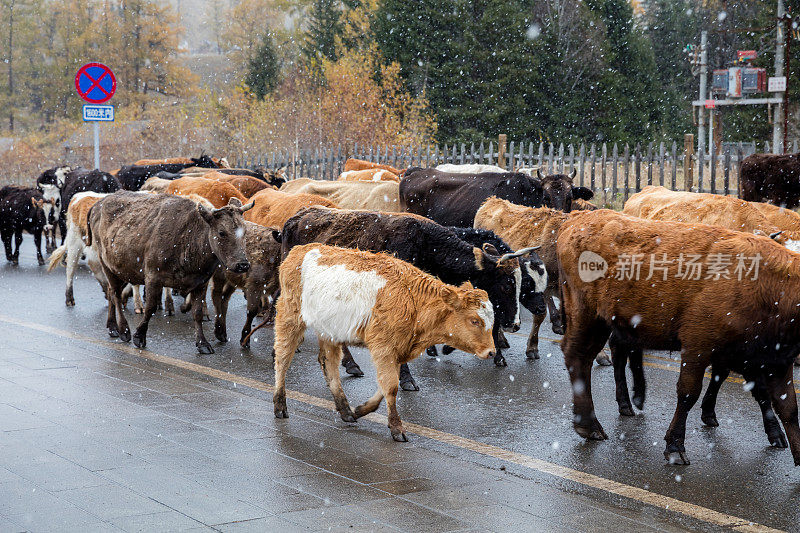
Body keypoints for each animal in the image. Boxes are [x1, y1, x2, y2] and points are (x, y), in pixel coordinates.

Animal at [87, 191, 252, 354]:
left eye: (244, 231)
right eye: (222, 232)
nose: (243, 265)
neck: (188, 238)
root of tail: (99, 203)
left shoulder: (201, 282)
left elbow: (198, 313)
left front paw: (203, 343)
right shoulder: (153, 277)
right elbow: (150, 308)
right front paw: (139, 336)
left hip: (121, 270)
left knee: (110, 292)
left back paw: (112, 327)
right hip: (106, 264)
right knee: (115, 294)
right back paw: (123, 330)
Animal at [272, 243, 494, 438]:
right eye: (474, 320)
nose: (491, 352)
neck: (412, 298)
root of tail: (299, 250)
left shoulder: (396, 351)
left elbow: (384, 387)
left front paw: (361, 409)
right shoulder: (384, 347)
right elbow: (391, 386)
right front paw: (397, 428)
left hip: (329, 331)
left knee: (329, 364)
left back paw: (346, 410)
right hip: (290, 318)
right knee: (282, 359)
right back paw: (280, 404)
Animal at [280, 206, 536, 388]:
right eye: (506, 285)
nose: (515, 324)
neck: (425, 243)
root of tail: (296, 217)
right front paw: (407, 379)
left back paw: (351, 364)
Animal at [552, 210, 800, 464]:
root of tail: (576, 219)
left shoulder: (773, 362)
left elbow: (787, 406)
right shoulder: (698, 348)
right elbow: (688, 393)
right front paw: (675, 446)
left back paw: (618, 408)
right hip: (588, 318)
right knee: (579, 357)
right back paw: (590, 425)